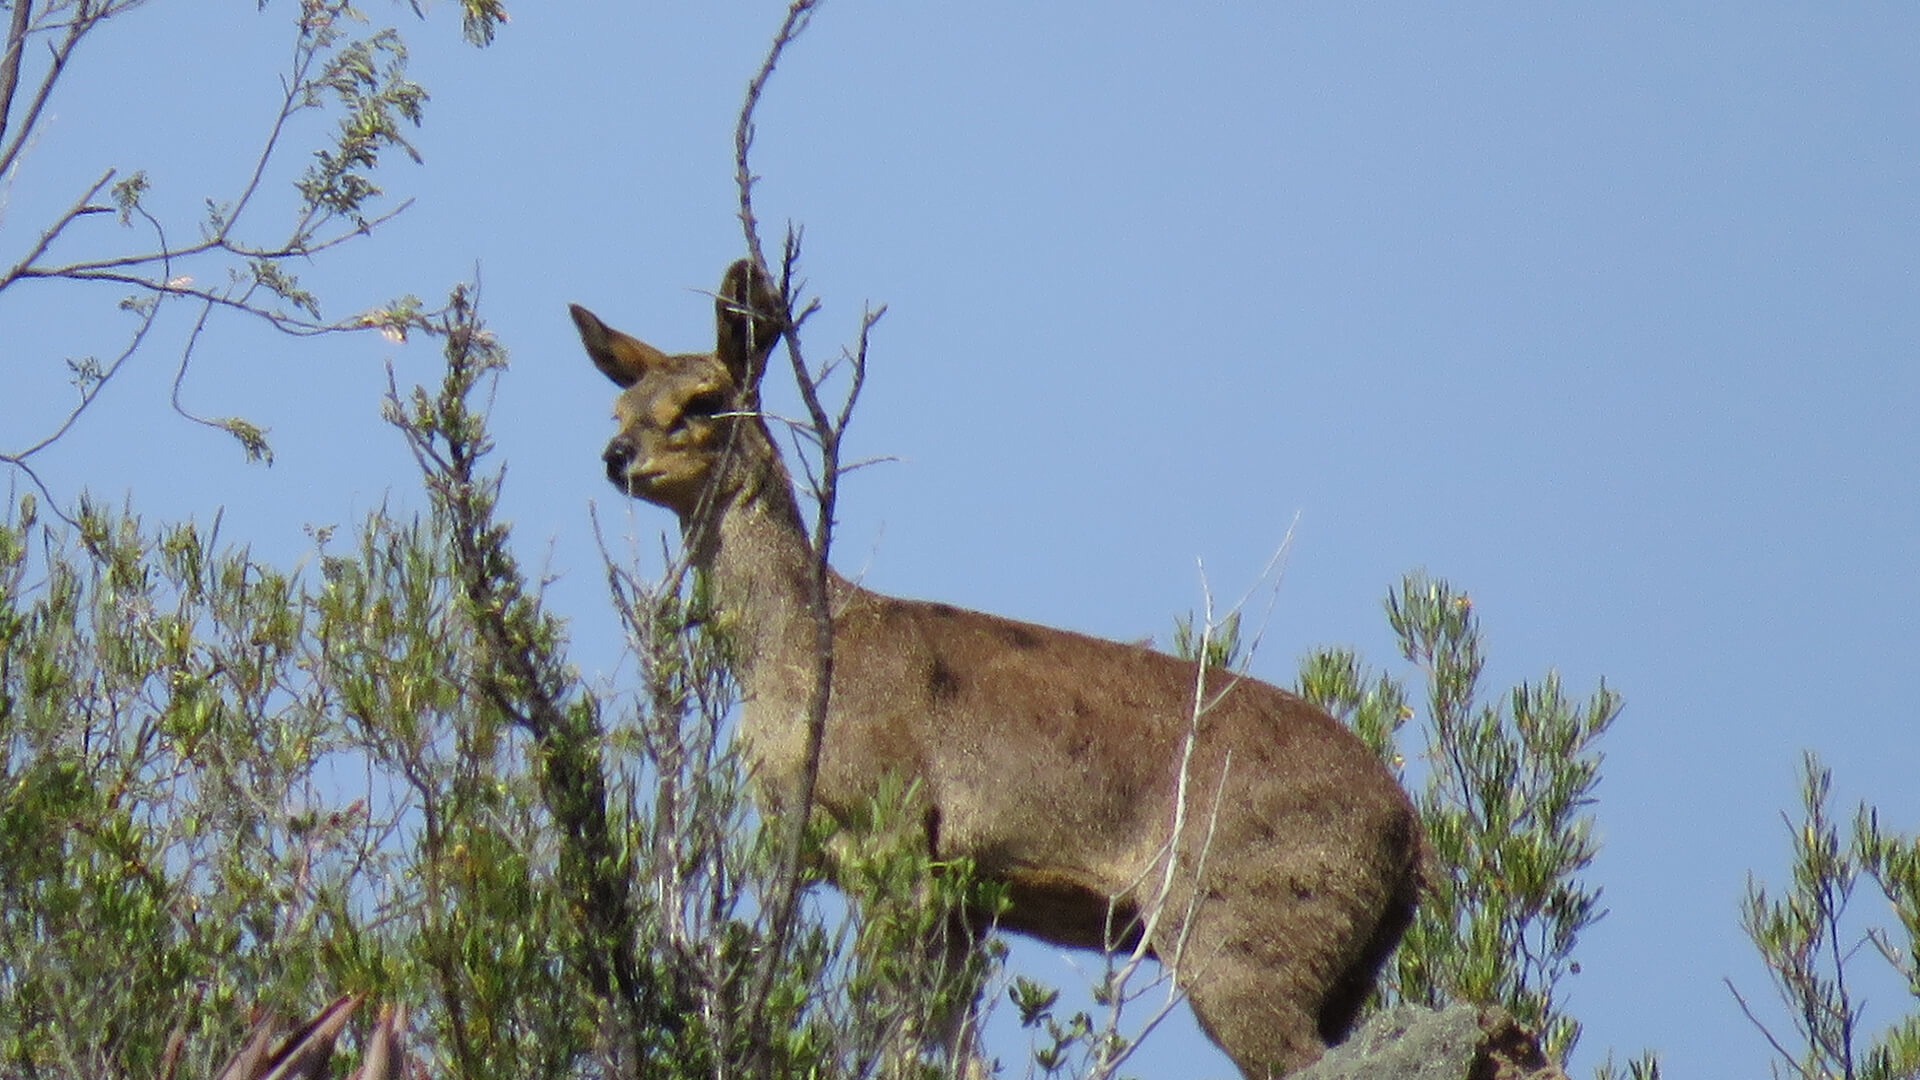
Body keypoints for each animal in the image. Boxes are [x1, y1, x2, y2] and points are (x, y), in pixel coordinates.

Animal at [568, 261, 1428, 1076]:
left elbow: (904, 1029)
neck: (803, 658)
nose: (615, 457)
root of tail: (1409, 830)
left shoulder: (897, 826)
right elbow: (959, 1048)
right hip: (1335, 968)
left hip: (1240, 924)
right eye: (617, 410)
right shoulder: (957, 893)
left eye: (705, 401)